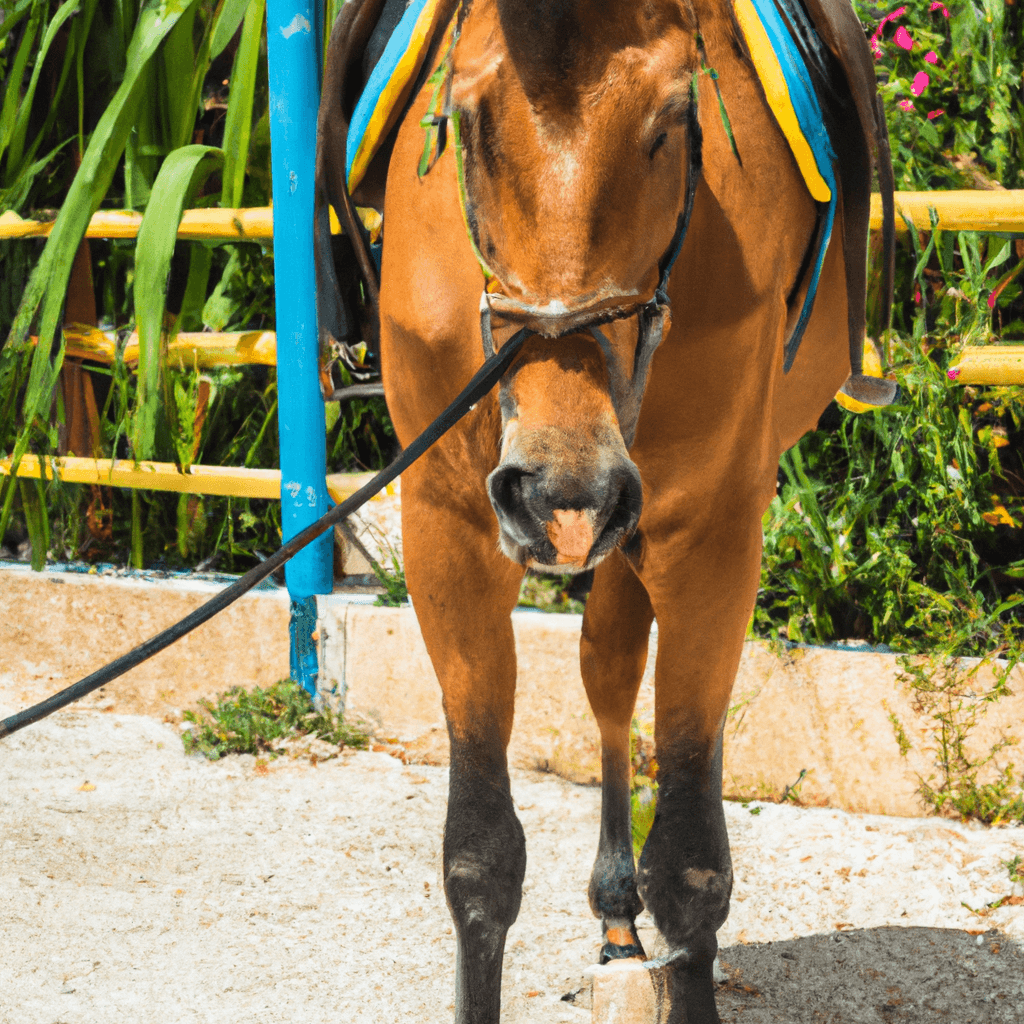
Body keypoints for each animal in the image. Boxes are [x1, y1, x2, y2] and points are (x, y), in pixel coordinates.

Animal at [315, 0, 896, 1020]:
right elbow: (479, 856)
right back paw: (617, 917)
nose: (561, 489)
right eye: (471, 123)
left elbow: (694, 864)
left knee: (626, 682)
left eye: (671, 121)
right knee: (608, 670)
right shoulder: (447, 525)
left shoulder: (712, 528)